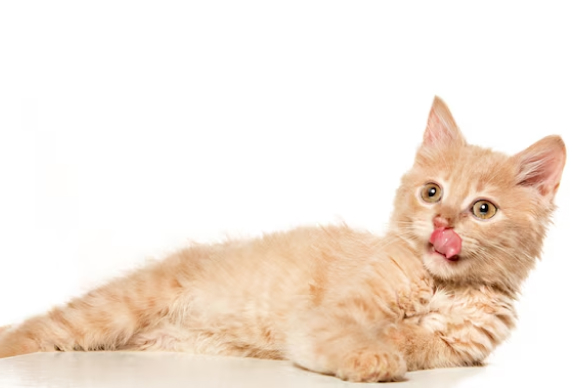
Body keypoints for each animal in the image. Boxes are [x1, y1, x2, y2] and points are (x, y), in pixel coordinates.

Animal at [0, 97, 568, 382]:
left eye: (482, 209)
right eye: (432, 193)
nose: (443, 225)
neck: (441, 289)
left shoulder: (454, 352)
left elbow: (411, 341)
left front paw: (393, 344)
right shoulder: (324, 320)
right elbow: (353, 335)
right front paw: (374, 358)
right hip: (112, 308)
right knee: (35, 328)